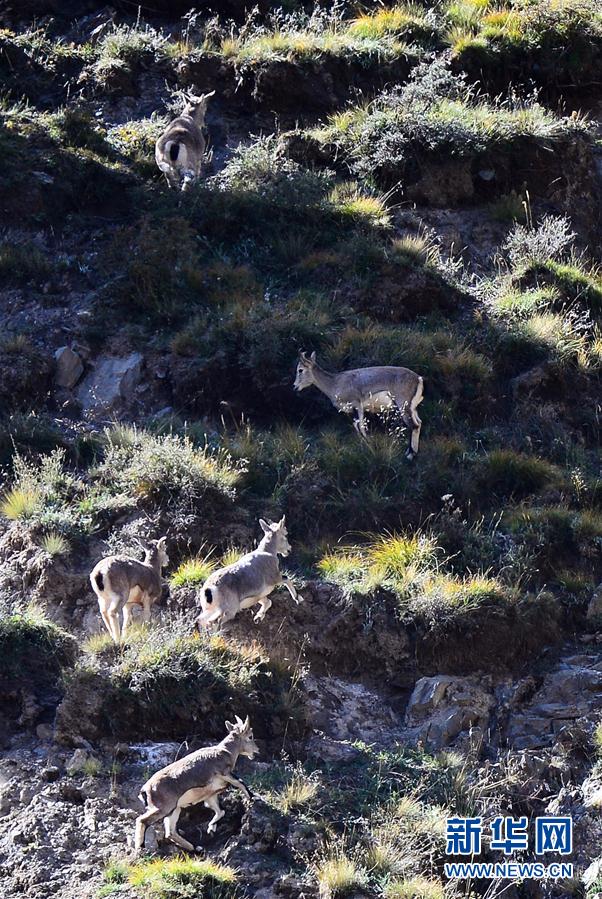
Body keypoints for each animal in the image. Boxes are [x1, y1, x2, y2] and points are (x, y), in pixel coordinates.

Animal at [134, 715, 258, 853]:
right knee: (142, 820)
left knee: (170, 832)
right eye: (250, 736)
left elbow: (220, 811)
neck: (226, 751)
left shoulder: (211, 795)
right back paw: (140, 846)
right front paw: (252, 797)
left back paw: (195, 848)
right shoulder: (224, 773)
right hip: (163, 808)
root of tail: (146, 790)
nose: (256, 751)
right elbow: (240, 782)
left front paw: (211, 828)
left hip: (174, 809)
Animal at [293, 351, 424, 459]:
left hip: (403, 406)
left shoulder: (358, 405)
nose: (294, 386)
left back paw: (410, 455)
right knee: (418, 423)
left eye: (300, 370)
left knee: (413, 425)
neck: (335, 383)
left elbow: (360, 426)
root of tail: (418, 379)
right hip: (412, 408)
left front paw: (369, 445)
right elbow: (356, 426)